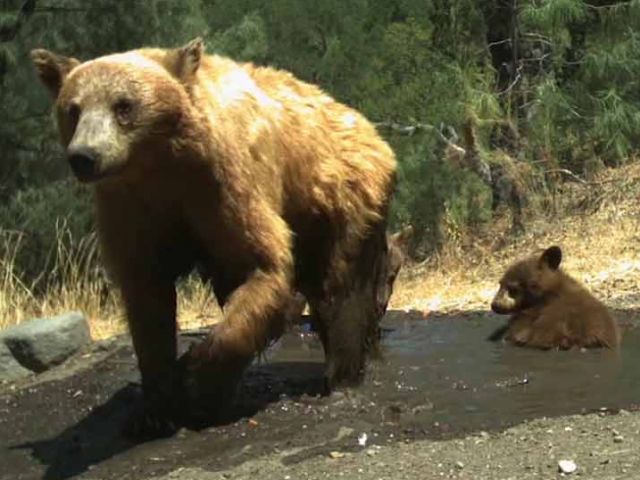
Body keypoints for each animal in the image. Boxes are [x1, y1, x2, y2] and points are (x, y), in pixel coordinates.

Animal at [31, 38, 397, 438]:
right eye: (72, 108)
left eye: (123, 105)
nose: (84, 156)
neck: (165, 163)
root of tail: (370, 129)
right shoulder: (134, 206)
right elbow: (148, 300)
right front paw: (154, 409)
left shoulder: (225, 184)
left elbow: (263, 266)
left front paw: (196, 382)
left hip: (339, 199)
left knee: (339, 288)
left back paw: (341, 374)